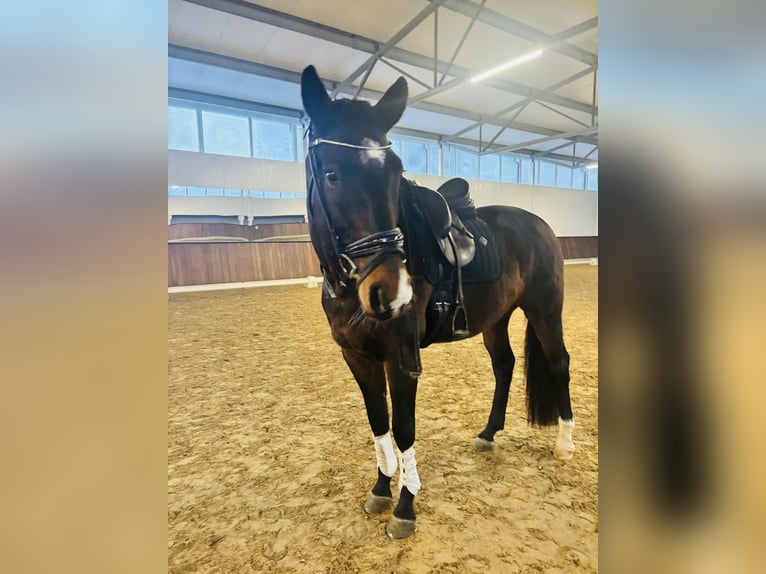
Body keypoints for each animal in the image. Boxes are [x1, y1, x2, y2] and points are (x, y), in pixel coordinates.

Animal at [300, 65, 575, 540]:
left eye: (396, 173)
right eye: (332, 174)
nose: (391, 292)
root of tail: (538, 223)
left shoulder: (402, 359)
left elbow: (404, 428)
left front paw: (405, 507)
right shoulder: (357, 357)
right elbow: (378, 422)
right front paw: (380, 488)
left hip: (545, 310)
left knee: (559, 362)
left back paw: (565, 443)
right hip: (495, 319)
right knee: (504, 365)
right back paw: (489, 433)